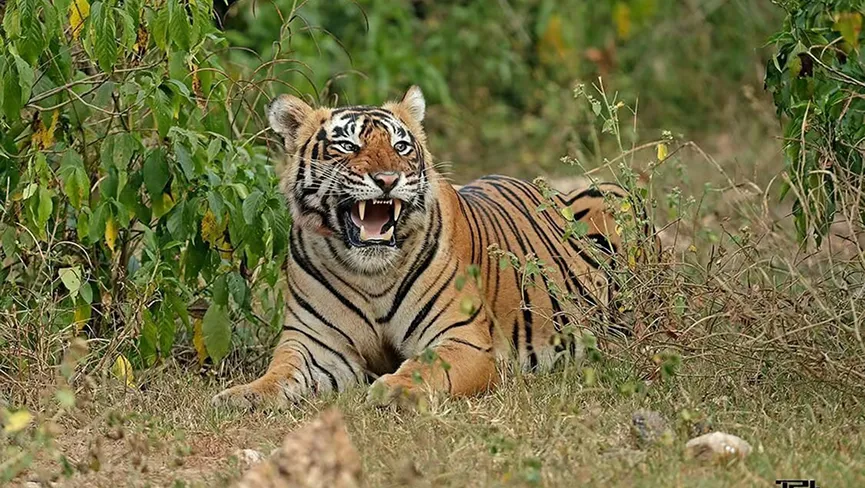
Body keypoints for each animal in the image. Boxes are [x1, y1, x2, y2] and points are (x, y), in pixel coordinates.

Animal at [212, 86, 654, 409]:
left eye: (401, 147)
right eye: (348, 146)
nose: (387, 180)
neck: (369, 272)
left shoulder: (462, 339)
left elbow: (425, 366)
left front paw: (392, 389)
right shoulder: (314, 345)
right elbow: (280, 374)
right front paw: (241, 396)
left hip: (609, 196)